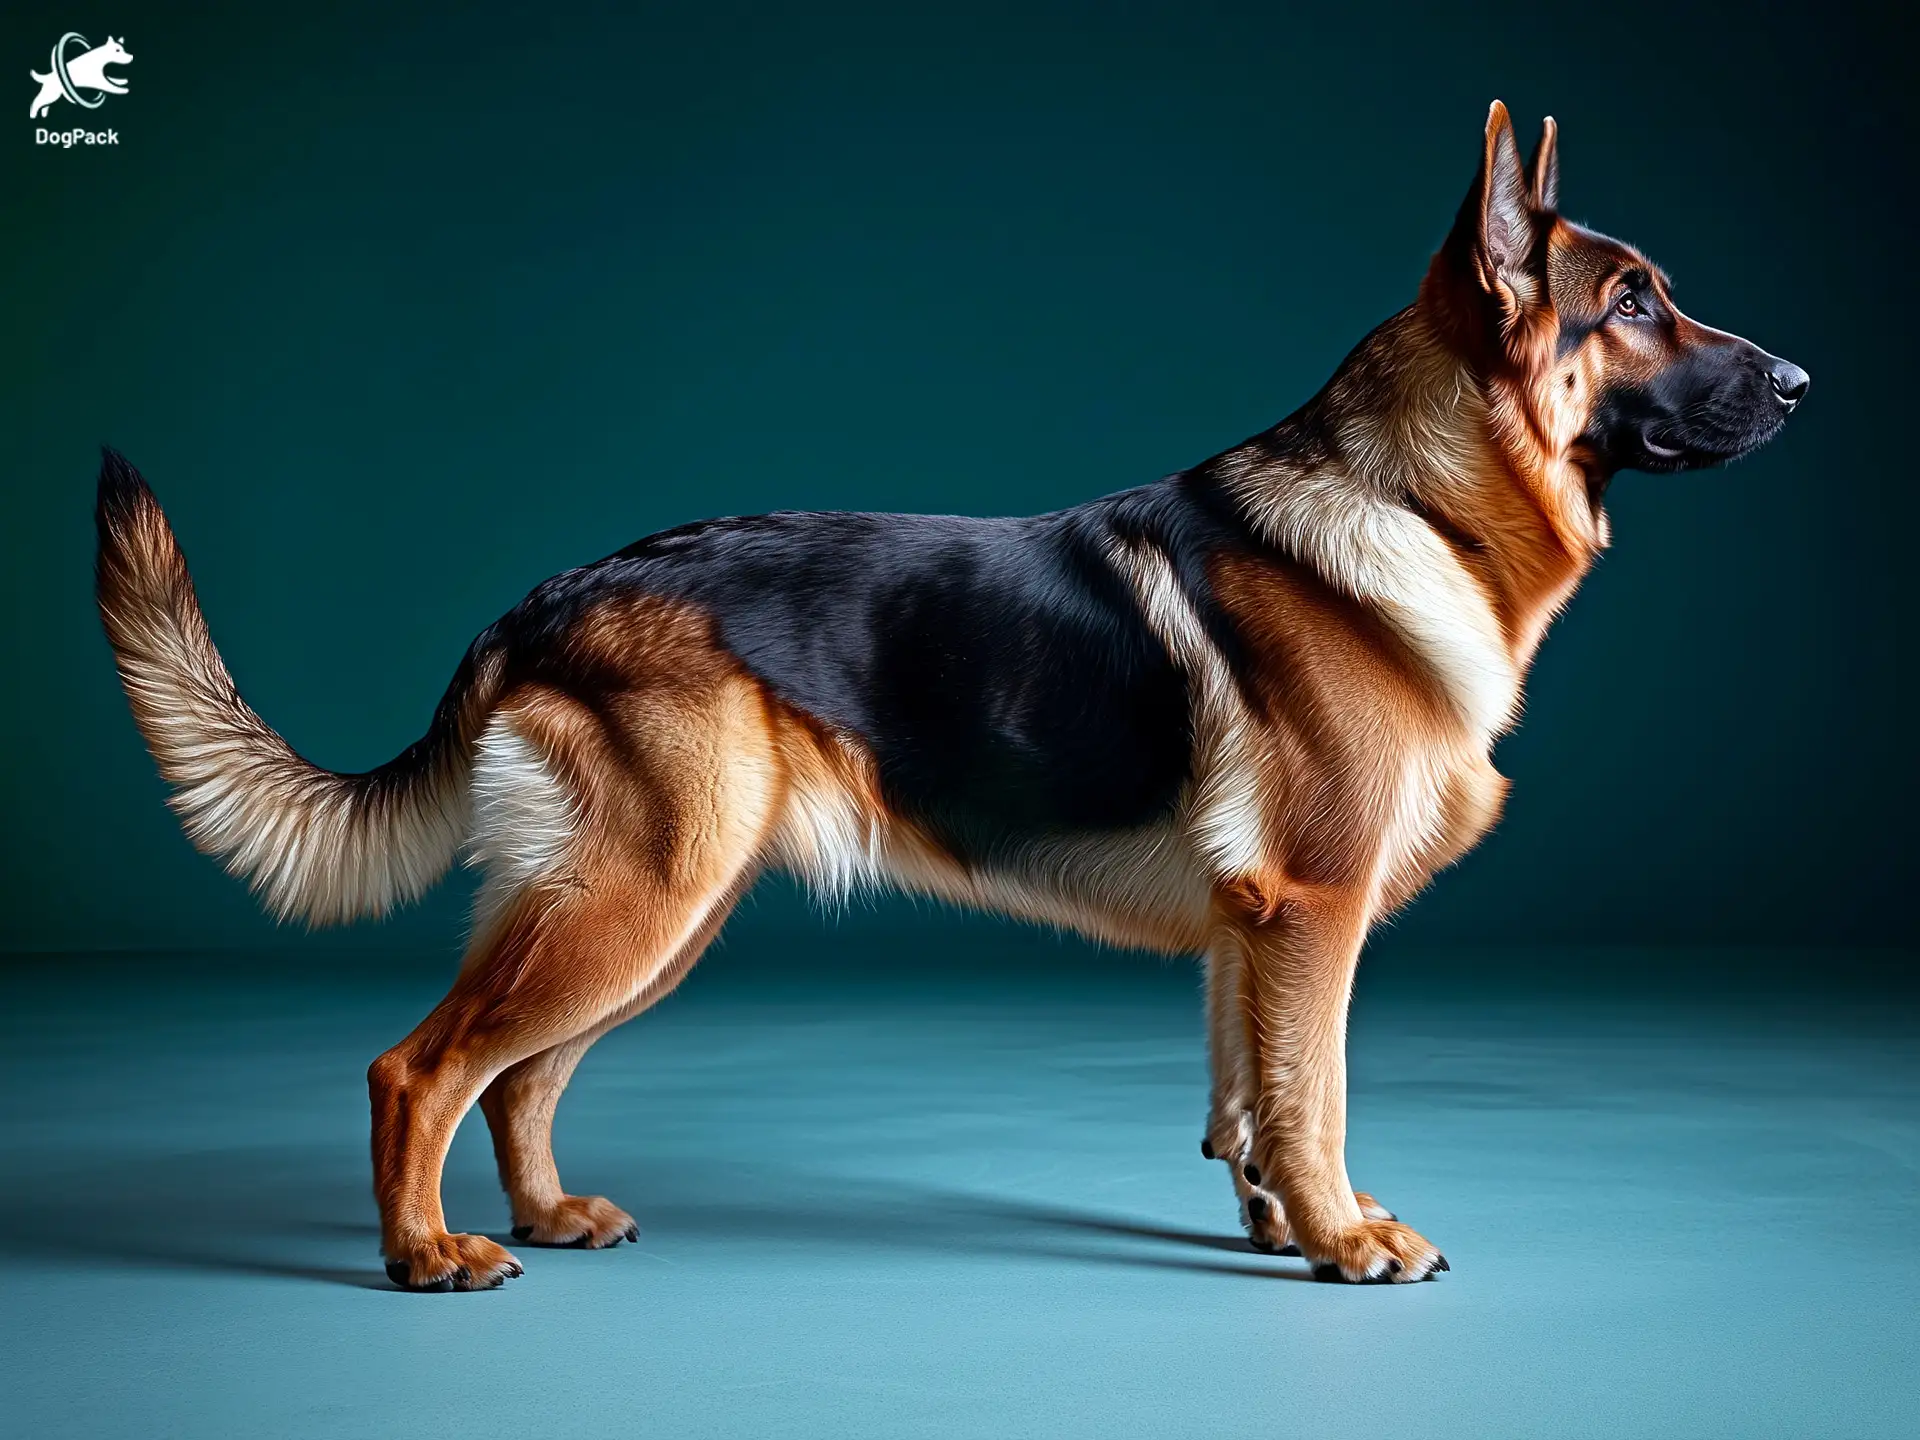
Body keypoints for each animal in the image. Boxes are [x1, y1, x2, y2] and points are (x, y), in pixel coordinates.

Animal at [97, 107, 1804, 1290]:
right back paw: (427, 1256)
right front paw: (1343, 1240)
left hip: (655, 910)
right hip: (636, 901)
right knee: (420, 1068)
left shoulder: (1248, 933)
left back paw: (545, 1214)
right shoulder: (1310, 912)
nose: (1801, 386)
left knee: (515, 1077)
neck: (1416, 499)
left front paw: (1281, 1229)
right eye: (1633, 302)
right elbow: (1308, 1092)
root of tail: (541, 601)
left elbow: (1247, 1098)